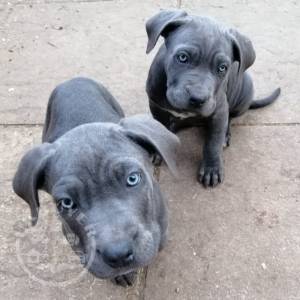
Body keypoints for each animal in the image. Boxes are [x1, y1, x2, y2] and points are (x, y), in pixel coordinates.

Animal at [146, 9, 282, 188]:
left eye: (222, 68)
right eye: (182, 57)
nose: (197, 98)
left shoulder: (219, 111)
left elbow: (213, 142)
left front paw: (212, 169)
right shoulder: (156, 105)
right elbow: (160, 126)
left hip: (244, 91)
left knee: (229, 119)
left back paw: (225, 135)